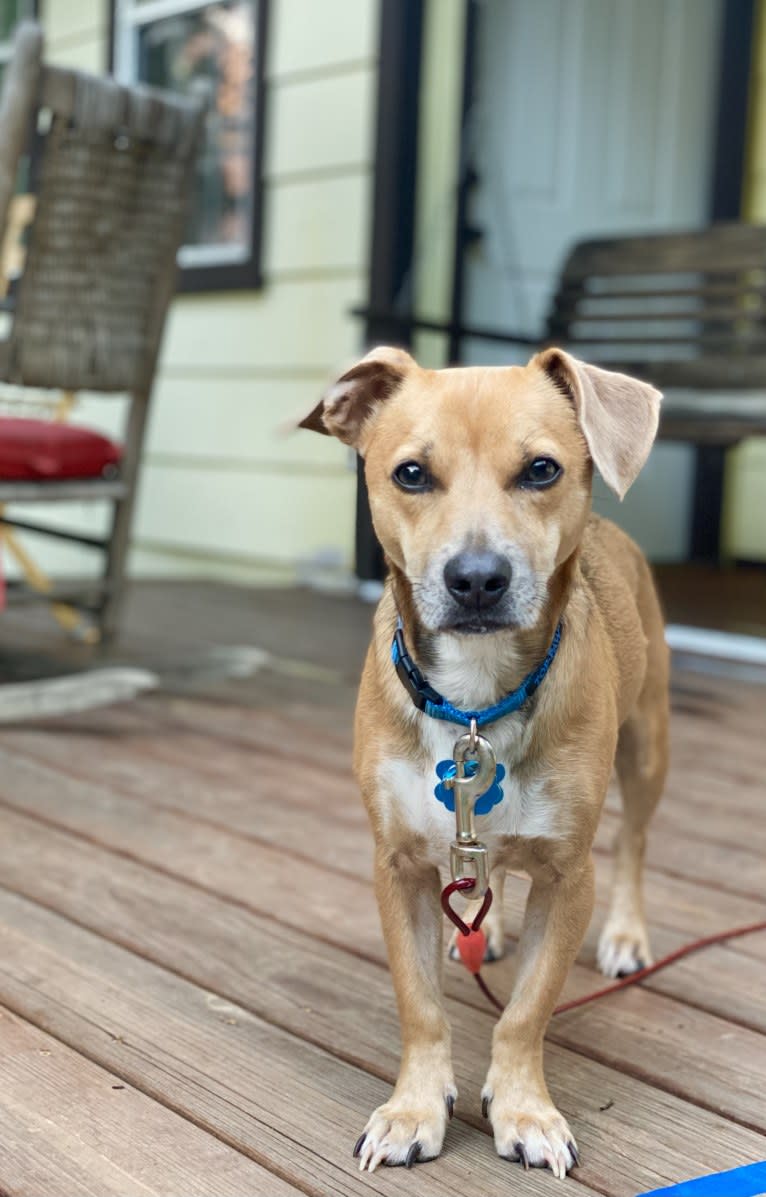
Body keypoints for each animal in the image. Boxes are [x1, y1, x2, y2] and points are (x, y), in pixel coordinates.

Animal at [301, 347, 665, 1177]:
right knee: (485, 872)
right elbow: (421, 1004)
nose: (475, 578)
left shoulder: (569, 877)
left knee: (633, 840)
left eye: (541, 469)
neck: (474, 702)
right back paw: (487, 925)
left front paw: (525, 1108)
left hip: (648, 746)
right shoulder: (398, 866)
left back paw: (626, 934)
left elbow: (526, 1011)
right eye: (409, 474)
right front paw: (413, 1109)